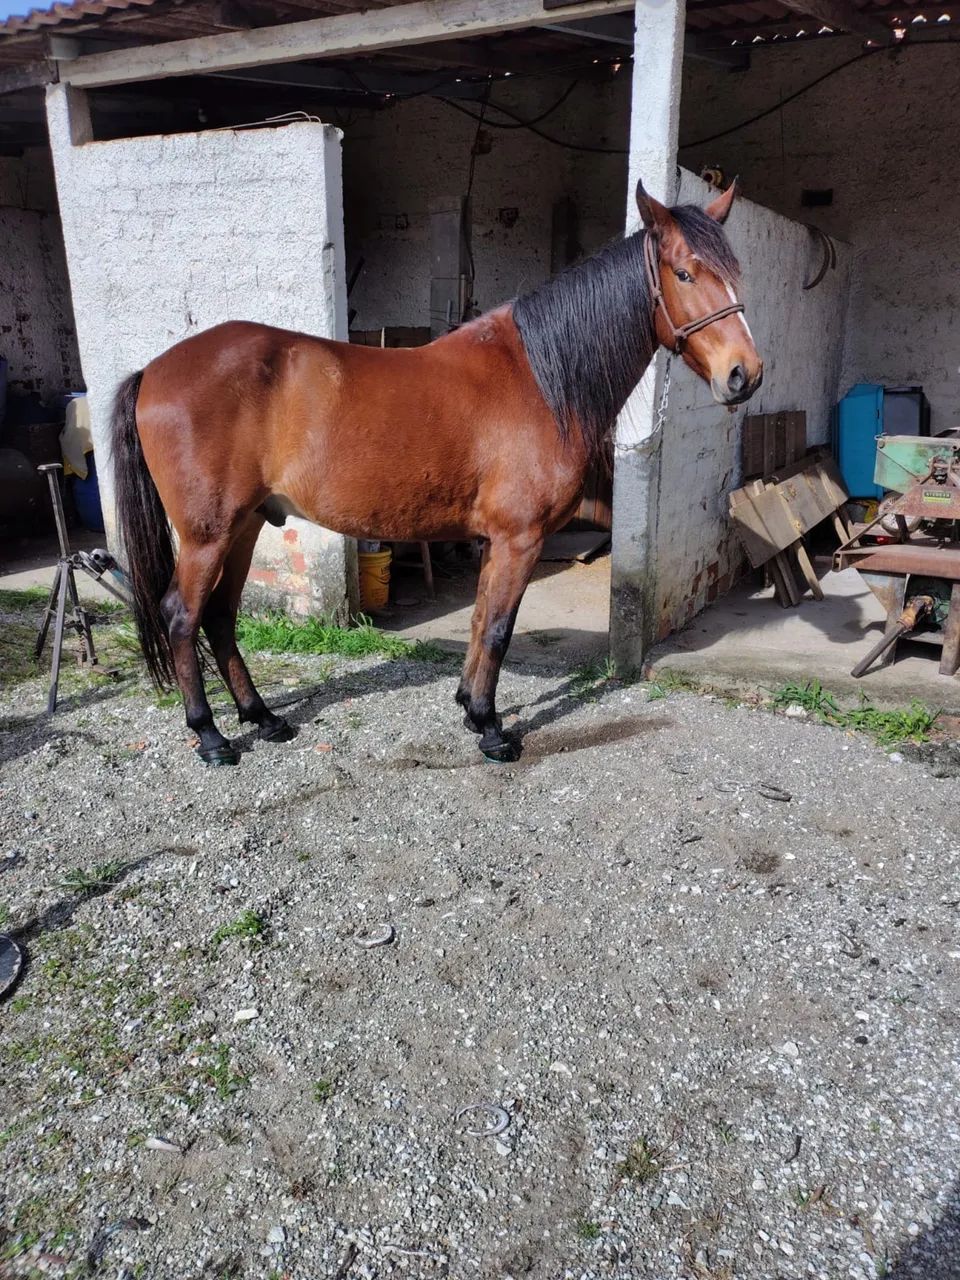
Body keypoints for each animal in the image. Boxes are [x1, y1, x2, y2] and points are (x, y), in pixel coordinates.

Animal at [110, 178, 762, 766]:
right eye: (684, 273)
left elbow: (478, 621)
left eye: (736, 272)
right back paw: (211, 737)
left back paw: (263, 718)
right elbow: (497, 630)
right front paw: (492, 729)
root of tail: (154, 370)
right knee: (183, 616)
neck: (538, 377)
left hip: (245, 526)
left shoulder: (495, 541)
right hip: (207, 536)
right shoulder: (519, 538)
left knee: (220, 616)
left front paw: (470, 708)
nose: (744, 374)